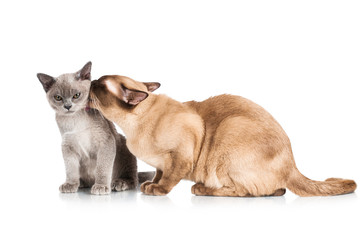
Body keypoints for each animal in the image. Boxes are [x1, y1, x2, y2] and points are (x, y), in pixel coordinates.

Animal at [36, 62, 149, 195]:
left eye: (76, 95)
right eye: (58, 97)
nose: (68, 106)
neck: (75, 119)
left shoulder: (105, 142)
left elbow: (102, 168)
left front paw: (101, 186)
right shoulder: (67, 145)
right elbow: (71, 169)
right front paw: (70, 184)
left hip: (124, 144)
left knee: (133, 179)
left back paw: (118, 183)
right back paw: (81, 183)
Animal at [88, 75, 356, 197]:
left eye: (100, 85)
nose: (91, 81)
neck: (132, 127)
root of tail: (292, 166)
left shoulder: (182, 152)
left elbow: (168, 178)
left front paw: (156, 190)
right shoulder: (162, 163)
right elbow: (158, 173)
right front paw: (149, 184)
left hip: (229, 133)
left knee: (243, 192)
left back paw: (201, 188)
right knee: (276, 191)